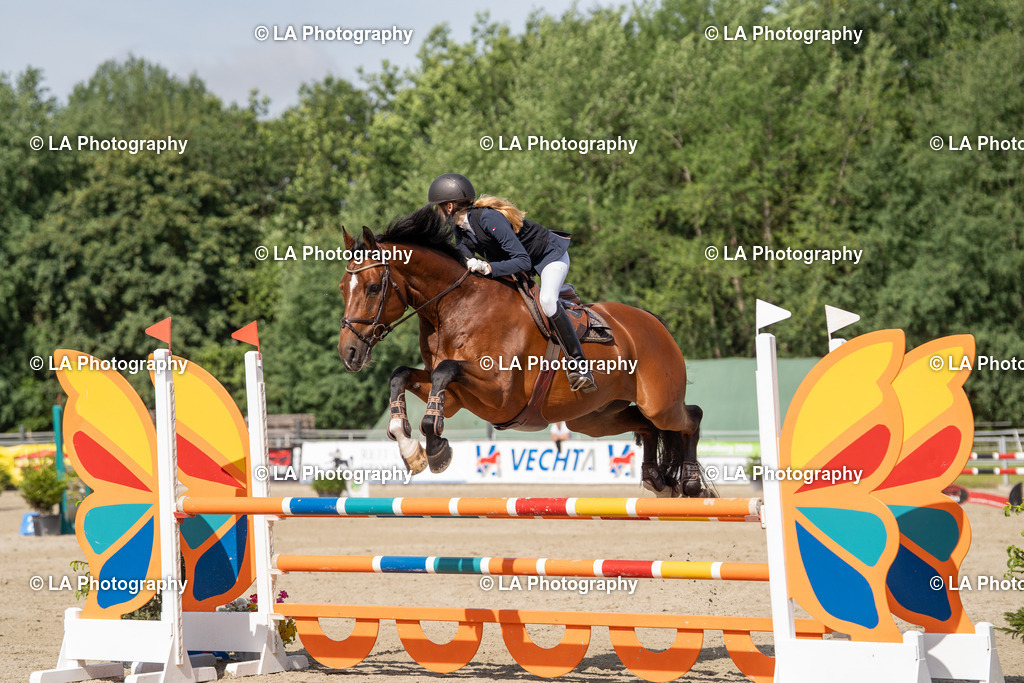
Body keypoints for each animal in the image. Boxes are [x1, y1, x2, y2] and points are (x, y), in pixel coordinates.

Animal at [336, 206, 707, 497]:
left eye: (373, 287)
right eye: (342, 288)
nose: (349, 353)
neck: (454, 306)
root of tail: (654, 323)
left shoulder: (500, 393)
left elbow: (445, 372)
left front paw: (437, 448)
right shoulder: (455, 398)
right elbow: (401, 375)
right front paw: (411, 448)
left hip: (659, 402)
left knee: (689, 417)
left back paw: (689, 482)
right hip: (595, 417)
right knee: (647, 427)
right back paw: (656, 479)